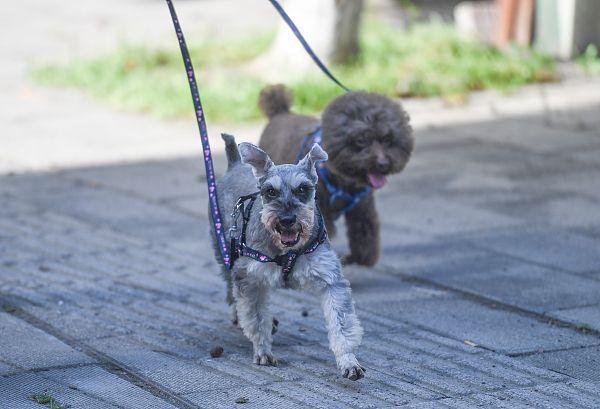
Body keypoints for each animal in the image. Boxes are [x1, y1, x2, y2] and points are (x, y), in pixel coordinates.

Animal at [216, 133, 366, 380]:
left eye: (303, 188)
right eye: (270, 191)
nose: (287, 219)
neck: (286, 251)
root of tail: (235, 164)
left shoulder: (331, 280)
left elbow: (342, 324)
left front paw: (348, 361)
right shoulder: (248, 278)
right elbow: (256, 319)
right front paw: (263, 351)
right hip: (225, 253)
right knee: (231, 292)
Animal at [255, 84, 414, 266]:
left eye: (387, 139)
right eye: (361, 140)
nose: (383, 164)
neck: (343, 181)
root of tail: (280, 113)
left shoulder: (362, 209)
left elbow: (364, 235)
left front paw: (356, 258)